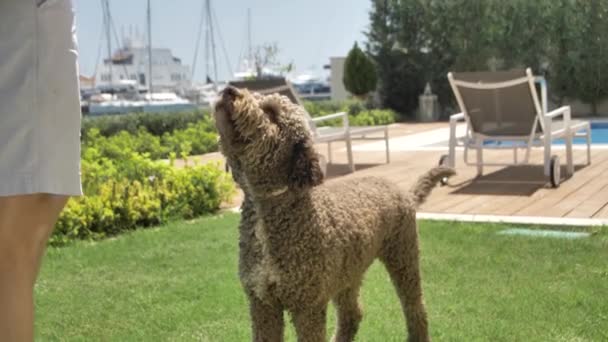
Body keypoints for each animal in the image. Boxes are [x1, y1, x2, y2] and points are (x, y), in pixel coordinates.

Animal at [214, 86, 452, 342]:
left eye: (271, 111)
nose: (228, 90)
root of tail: (405, 193)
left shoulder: (308, 307)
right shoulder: (262, 303)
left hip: (403, 258)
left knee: (415, 308)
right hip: (349, 272)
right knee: (353, 313)